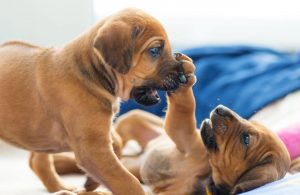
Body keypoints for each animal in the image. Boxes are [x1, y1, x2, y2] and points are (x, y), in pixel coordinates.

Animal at [0, 8, 191, 195]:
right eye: (155, 50)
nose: (183, 77)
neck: (91, 75)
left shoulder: (99, 133)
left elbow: (117, 144)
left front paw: (91, 182)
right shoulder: (92, 148)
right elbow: (127, 181)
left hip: (41, 134)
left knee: (37, 160)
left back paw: (61, 187)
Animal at [48, 56, 290, 195]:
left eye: (246, 139)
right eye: (251, 121)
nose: (221, 109)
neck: (206, 173)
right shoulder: (186, 136)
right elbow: (185, 107)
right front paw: (185, 75)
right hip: (133, 120)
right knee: (110, 145)